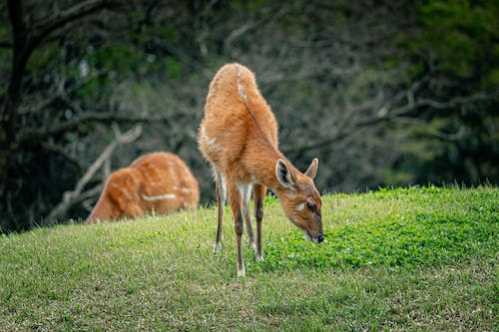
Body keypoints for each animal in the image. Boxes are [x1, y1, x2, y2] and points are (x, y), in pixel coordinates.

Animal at [199, 63, 324, 276]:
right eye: (309, 204)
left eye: (321, 201)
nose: (321, 237)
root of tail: (231, 65)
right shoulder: (231, 172)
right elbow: (237, 222)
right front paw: (241, 269)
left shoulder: (258, 179)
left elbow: (259, 213)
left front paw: (259, 255)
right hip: (214, 162)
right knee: (220, 198)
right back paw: (217, 246)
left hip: (245, 180)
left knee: (244, 202)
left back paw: (251, 243)